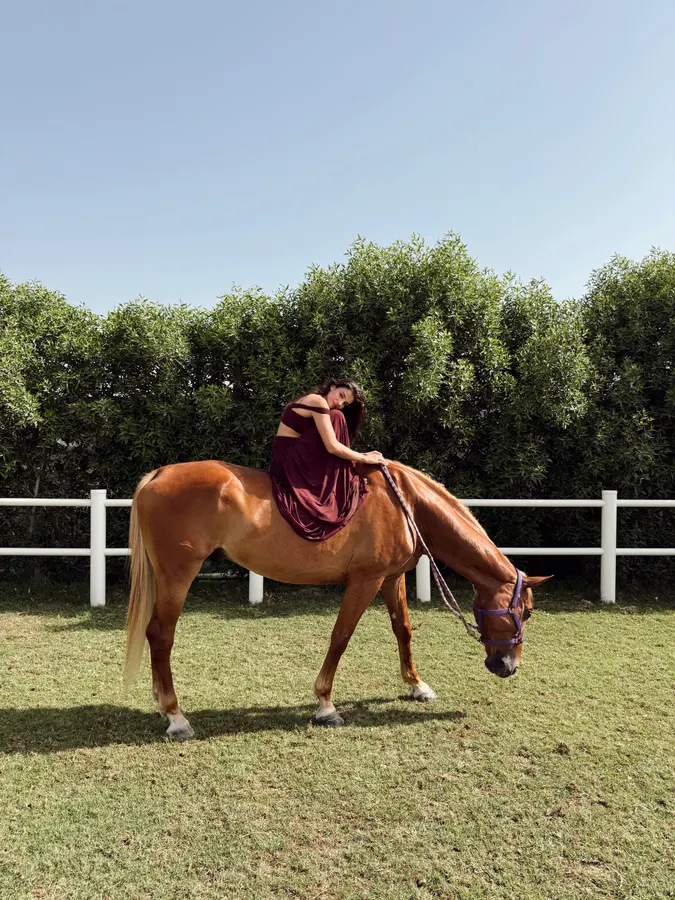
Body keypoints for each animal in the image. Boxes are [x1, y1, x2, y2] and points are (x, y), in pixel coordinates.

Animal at [124, 459, 550, 739]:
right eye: (527, 612)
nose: (507, 666)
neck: (405, 505)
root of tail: (158, 475)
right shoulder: (366, 580)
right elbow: (341, 637)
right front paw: (326, 706)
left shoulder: (391, 578)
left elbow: (403, 630)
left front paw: (417, 685)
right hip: (178, 575)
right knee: (161, 635)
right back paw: (177, 717)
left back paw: (163, 704)